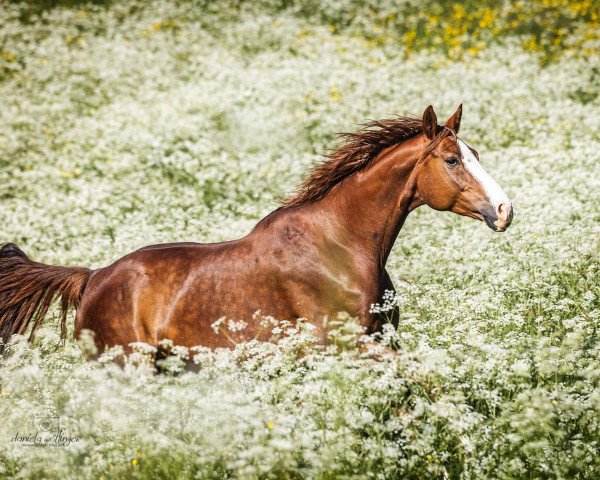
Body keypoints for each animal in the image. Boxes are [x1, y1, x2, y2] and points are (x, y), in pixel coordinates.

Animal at [1, 105, 510, 352]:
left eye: (475, 154)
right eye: (451, 160)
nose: (505, 210)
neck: (340, 246)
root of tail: (91, 279)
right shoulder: (346, 349)